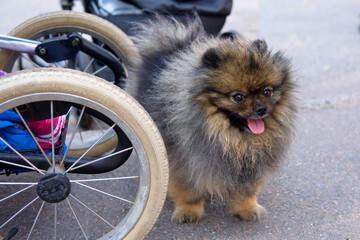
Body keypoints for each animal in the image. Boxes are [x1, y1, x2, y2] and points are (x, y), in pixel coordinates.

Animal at [126, 14, 296, 223]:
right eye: (238, 97)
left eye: (267, 92)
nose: (261, 108)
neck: (232, 138)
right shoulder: (184, 160)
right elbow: (188, 189)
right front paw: (188, 211)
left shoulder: (250, 165)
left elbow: (247, 190)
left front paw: (247, 208)